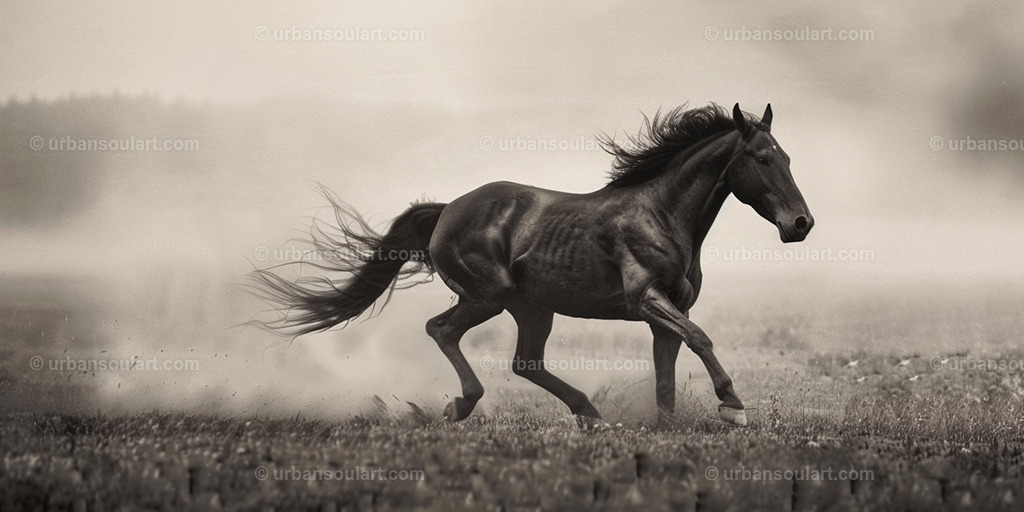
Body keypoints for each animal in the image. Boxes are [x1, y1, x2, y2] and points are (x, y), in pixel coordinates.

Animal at [249, 103, 813, 427]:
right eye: (763, 158)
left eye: (787, 158)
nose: (801, 223)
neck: (661, 215)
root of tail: (447, 210)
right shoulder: (646, 300)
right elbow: (701, 338)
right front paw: (732, 405)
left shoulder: (665, 314)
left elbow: (668, 373)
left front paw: (669, 425)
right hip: (489, 296)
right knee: (442, 329)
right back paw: (463, 405)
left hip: (531, 308)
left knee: (525, 362)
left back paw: (588, 413)